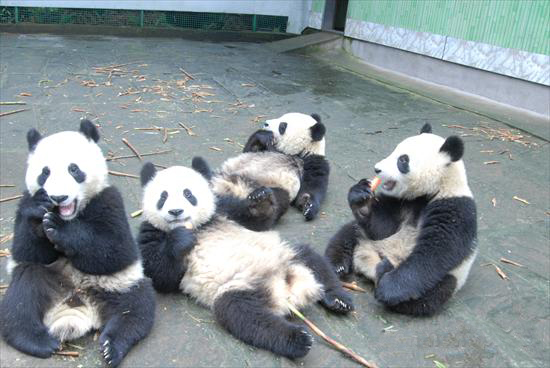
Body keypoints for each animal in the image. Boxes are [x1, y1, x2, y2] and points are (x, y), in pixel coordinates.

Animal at [0, 120, 155, 366]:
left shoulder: (108, 200)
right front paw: (40, 211)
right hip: (45, 280)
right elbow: (26, 250)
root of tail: (76, 307)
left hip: (119, 286)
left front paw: (60, 230)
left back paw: (112, 347)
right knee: (21, 298)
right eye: (45, 172)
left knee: (135, 308)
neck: (70, 215)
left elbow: (115, 250)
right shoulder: (24, 202)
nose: (58, 197)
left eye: (74, 169)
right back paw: (36, 341)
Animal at [138, 162, 354, 360]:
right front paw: (180, 239)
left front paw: (261, 199)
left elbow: (257, 221)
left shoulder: (223, 209)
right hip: (237, 288)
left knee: (313, 260)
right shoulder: (151, 232)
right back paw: (298, 340)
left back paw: (338, 300)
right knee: (247, 317)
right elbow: (161, 274)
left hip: (287, 253)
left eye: (188, 194)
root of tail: (286, 288)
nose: (176, 212)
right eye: (163, 197)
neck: (198, 226)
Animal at [326, 124, 476, 316]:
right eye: (394, 150)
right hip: (365, 238)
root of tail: (369, 262)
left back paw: (384, 273)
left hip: (450, 277)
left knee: (429, 296)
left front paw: (389, 287)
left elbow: (435, 252)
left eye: (403, 160)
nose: (377, 169)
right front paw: (361, 198)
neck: (434, 189)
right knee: (347, 234)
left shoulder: (456, 208)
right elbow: (382, 228)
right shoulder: (401, 201)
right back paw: (337, 266)